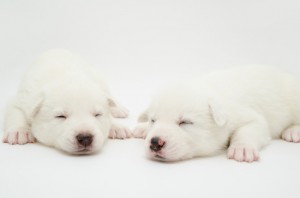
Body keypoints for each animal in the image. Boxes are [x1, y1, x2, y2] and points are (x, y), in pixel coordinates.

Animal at [2, 49, 131, 155]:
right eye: (60, 116)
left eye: (97, 115)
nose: (85, 137)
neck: (66, 76)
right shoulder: (22, 99)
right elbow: (15, 111)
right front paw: (19, 131)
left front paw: (116, 126)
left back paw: (119, 109)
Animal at [135, 66, 300, 162]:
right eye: (153, 120)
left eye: (185, 122)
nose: (155, 142)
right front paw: (143, 128)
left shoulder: (250, 117)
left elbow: (248, 129)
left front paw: (242, 148)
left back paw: (293, 131)